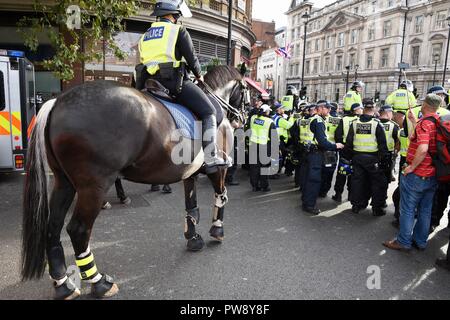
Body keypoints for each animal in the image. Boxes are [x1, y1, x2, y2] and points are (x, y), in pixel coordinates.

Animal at [21, 65, 248, 300]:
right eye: (246, 90)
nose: (243, 116)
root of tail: (57, 102)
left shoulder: (190, 173)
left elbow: (191, 207)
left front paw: (193, 238)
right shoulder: (219, 169)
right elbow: (220, 196)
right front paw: (217, 229)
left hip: (64, 182)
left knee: (53, 226)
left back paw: (63, 284)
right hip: (93, 187)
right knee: (78, 230)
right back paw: (99, 282)